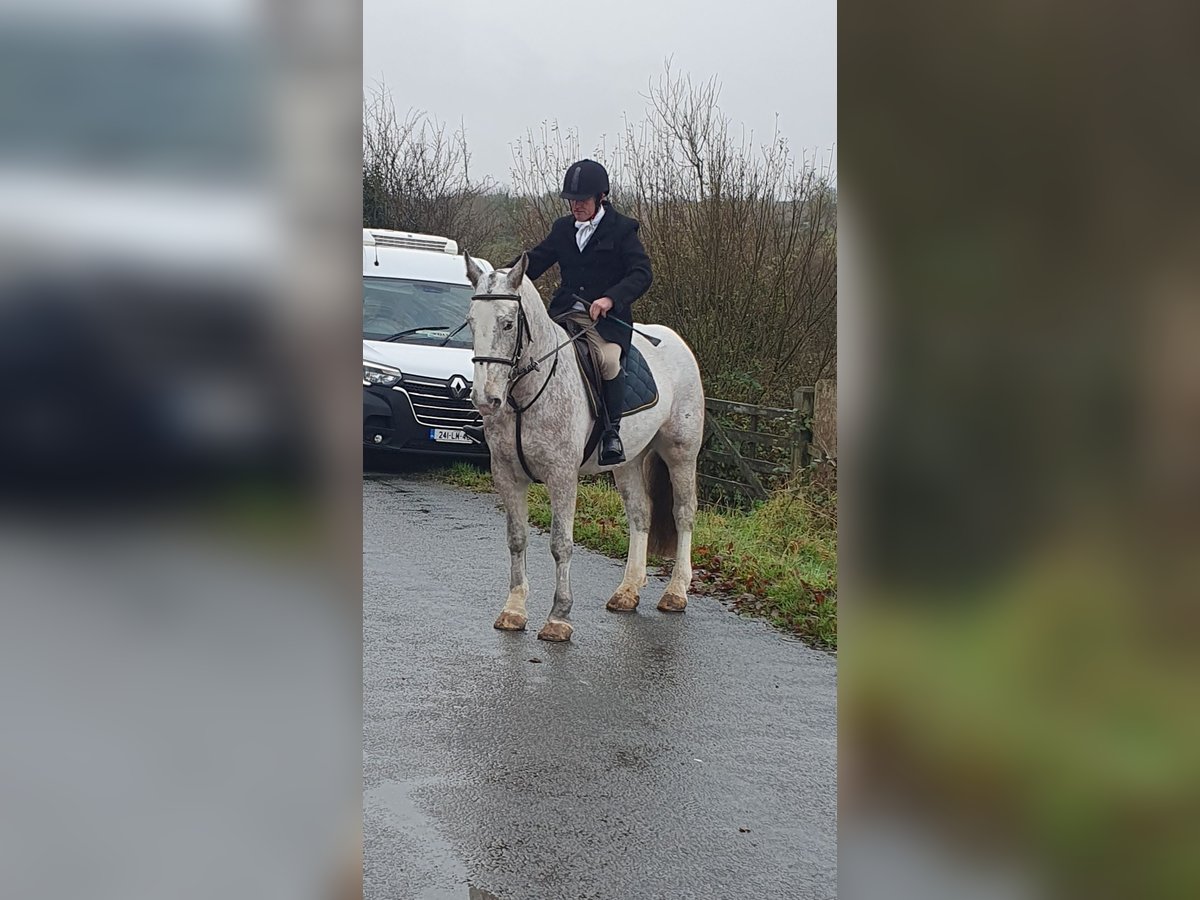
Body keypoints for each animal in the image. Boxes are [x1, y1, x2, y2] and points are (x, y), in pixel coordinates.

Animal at [458, 247, 700, 643]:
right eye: (471, 323)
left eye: (508, 324)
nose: (485, 399)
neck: (523, 396)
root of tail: (674, 340)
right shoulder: (507, 474)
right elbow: (517, 538)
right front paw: (514, 610)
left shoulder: (562, 476)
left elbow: (560, 543)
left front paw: (559, 617)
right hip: (628, 461)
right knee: (640, 513)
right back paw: (628, 591)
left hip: (680, 452)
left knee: (684, 513)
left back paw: (676, 592)